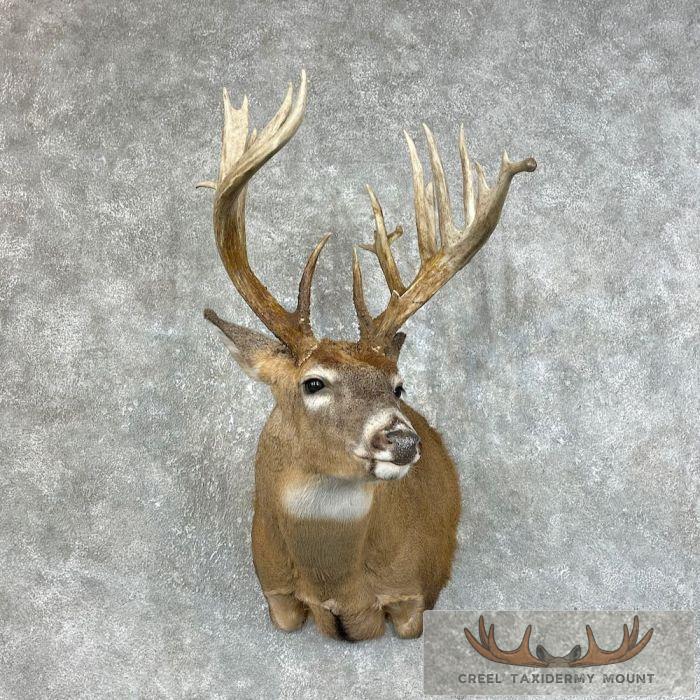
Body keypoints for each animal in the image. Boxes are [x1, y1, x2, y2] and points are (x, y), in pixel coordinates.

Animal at [198, 71, 536, 641]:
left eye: (398, 384)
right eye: (313, 382)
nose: (402, 440)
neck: (334, 581)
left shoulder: (413, 595)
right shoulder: (274, 592)